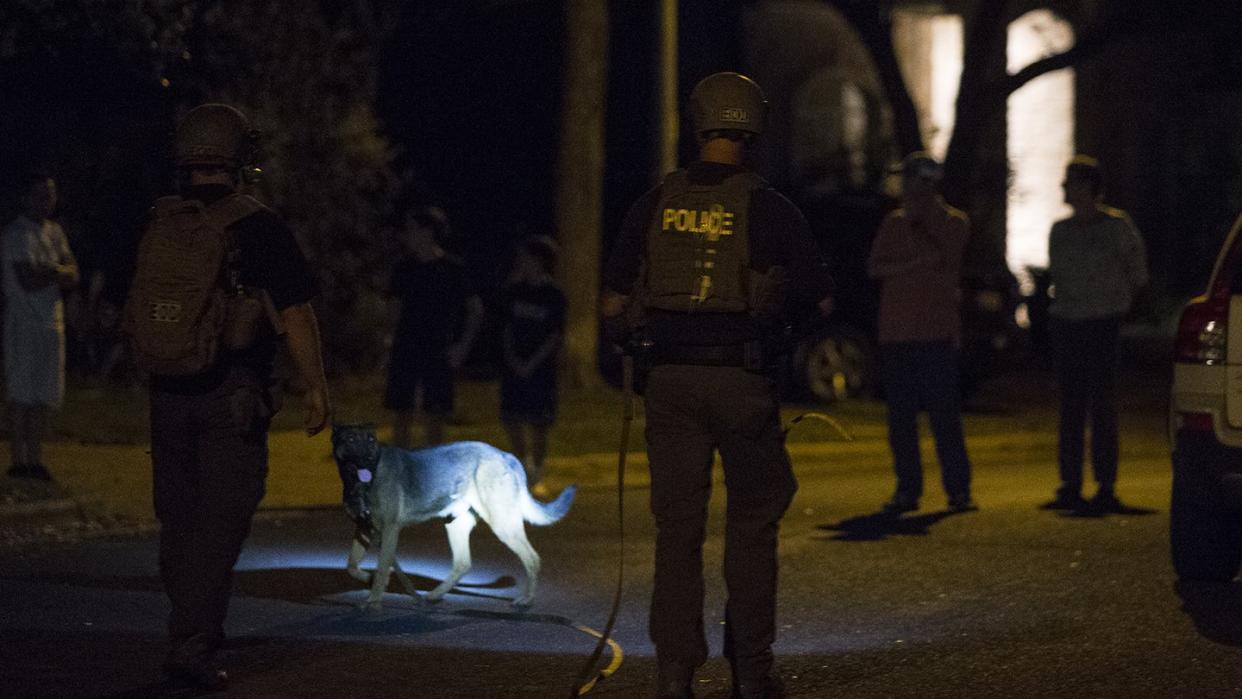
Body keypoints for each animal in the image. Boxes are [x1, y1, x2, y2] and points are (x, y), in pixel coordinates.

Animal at [332, 424, 578, 610]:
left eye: (371, 440)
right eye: (351, 439)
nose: (369, 456)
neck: (362, 481)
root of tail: (506, 455)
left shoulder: (390, 529)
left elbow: (382, 567)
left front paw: (374, 600)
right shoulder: (364, 528)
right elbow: (351, 565)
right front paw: (370, 579)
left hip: (502, 525)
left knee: (532, 559)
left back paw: (526, 600)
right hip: (455, 526)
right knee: (463, 563)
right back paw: (434, 595)